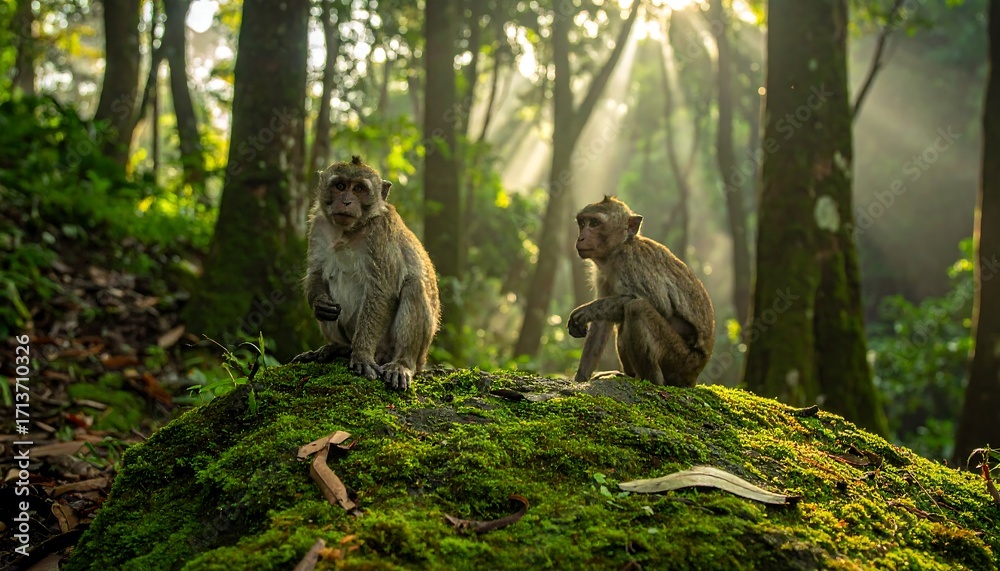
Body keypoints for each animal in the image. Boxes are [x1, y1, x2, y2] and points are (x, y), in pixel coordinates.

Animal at [291, 156, 440, 391]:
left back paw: (401, 363)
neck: (349, 231)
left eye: (359, 189)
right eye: (340, 186)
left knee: (414, 286)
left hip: (409, 353)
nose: (346, 202)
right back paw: (338, 348)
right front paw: (320, 304)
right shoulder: (319, 225)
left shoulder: (381, 234)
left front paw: (361, 355)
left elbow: (382, 290)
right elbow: (316, 273)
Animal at [567, 196, 715, 387]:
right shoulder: (602, 275)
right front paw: (581, 378)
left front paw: (586, 311)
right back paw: (627, 375)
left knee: (636, 308)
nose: (581, 237)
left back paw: (651, 381)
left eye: (594, 223)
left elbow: (661, 306)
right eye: (582, 223)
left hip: (681, 362)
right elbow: (601, 326)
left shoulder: (631, 261)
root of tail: (695, 375)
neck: (619, 249)